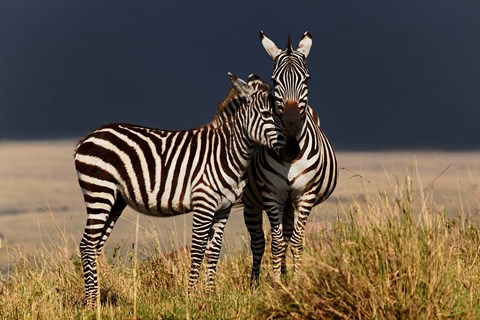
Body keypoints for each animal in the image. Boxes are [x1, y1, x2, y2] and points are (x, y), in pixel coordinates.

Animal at [74, 72, 284, 304]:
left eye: (281, 112)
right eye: (266, 114)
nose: (290, 145)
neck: (227, 152)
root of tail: (87, 137)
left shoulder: (223, 208)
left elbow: (214, 250)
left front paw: (210, 295)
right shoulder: (204, 203)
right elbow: (198, 249)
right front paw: (191, 296)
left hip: (115, 200)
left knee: (95, 245)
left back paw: (95, 300)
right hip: (99, 192)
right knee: (86, 244)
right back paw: (92, 303)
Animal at [242, 32, 340, 286]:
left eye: (307, 79)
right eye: (275, 81)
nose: (292, 123)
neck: (291, 152)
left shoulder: (305, 193)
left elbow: (295, 240)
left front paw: (295, 282)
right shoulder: (272, 194)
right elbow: (276, 243)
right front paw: (276, 284)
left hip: (290, 201)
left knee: (287, 235)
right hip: (253, 202)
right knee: (258, 242)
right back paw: (255, 283)